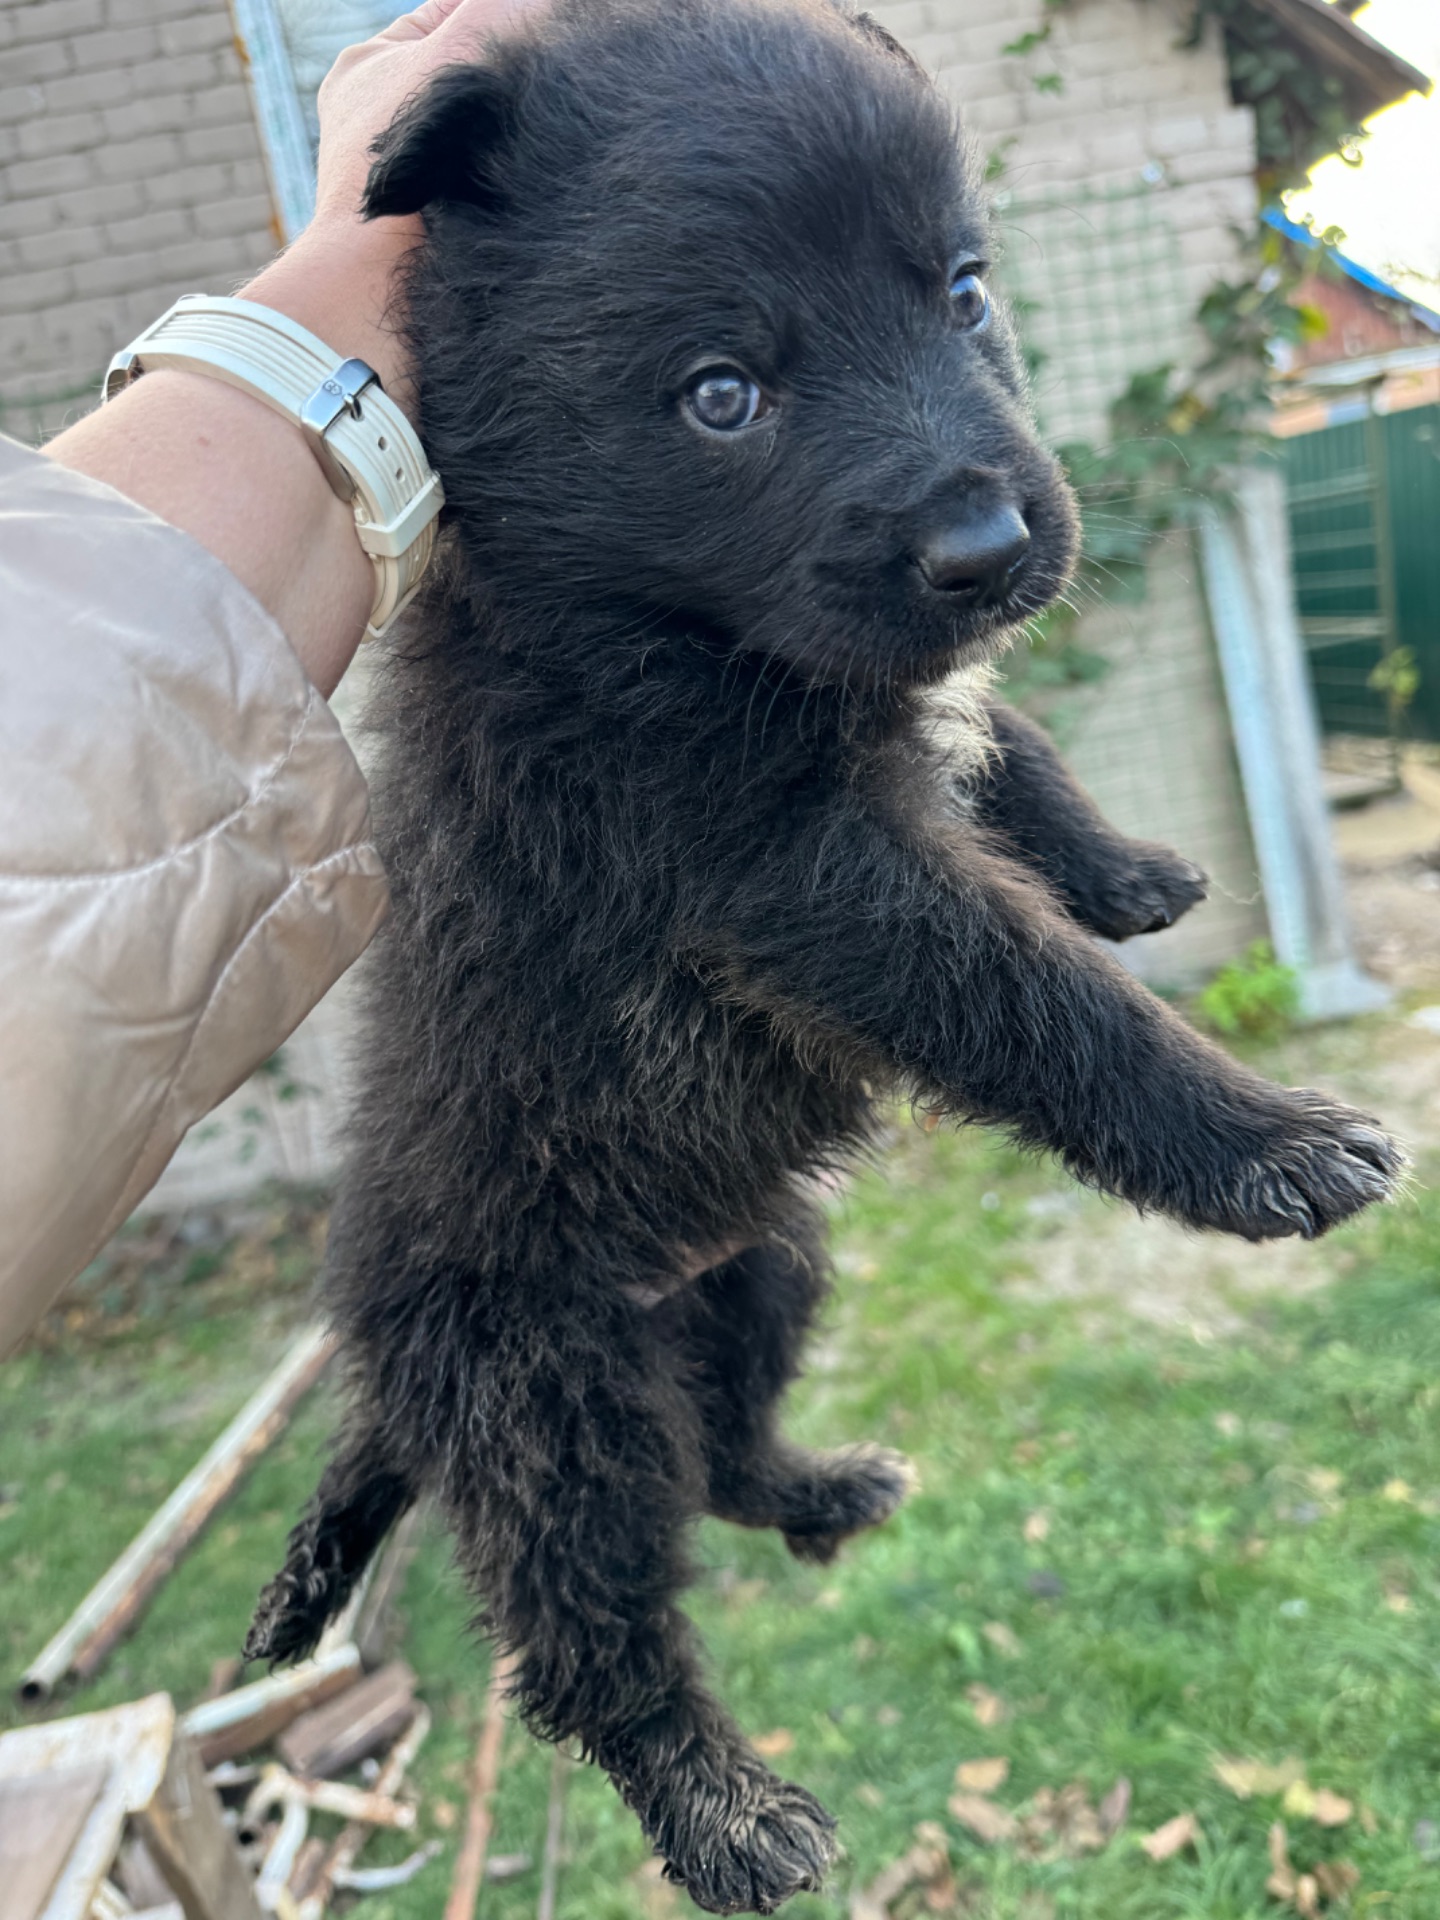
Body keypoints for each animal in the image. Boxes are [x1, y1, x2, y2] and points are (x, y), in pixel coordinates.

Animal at [247, 7, 1397, 1912]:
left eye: (961, 290)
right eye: (723, 393)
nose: (989, 548)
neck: (645, 617)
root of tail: (374, 1358)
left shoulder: (899, 746)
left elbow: (1003, 743)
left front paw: (1128, 872)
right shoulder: (796, 869)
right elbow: (1044, 1004)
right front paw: (1268, 1142)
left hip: (758, 1273)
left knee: (717, 1458)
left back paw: (819, 1494)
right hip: (551, 1407)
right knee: (589, 1641)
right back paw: (724, 1816)